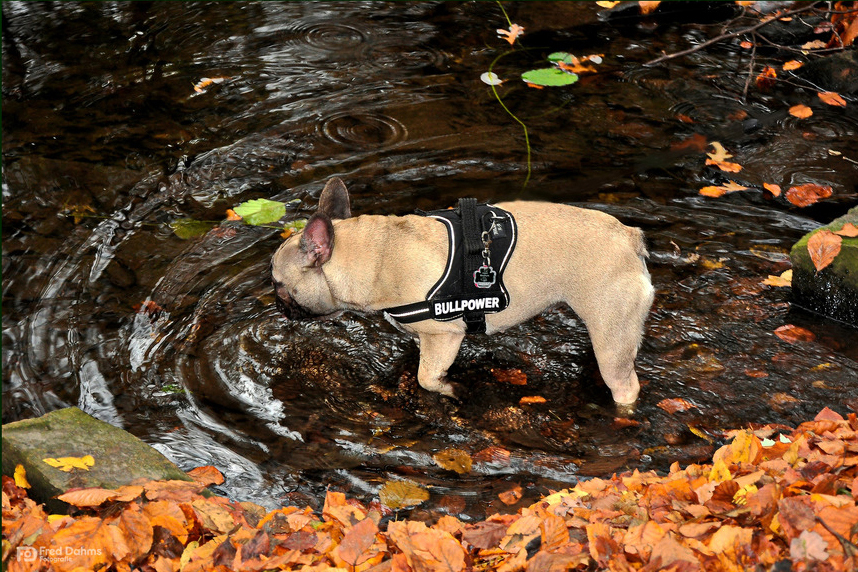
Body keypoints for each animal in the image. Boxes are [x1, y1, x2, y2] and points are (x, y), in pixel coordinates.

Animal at [270, 178, 652, 402]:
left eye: (277, 283)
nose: (277, 304)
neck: (378, 254)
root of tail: (627, 237)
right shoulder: (424, 338)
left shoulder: (444, 336)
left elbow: (426, 377)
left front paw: (451, 390)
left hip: (612, 334)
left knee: (625, 384)